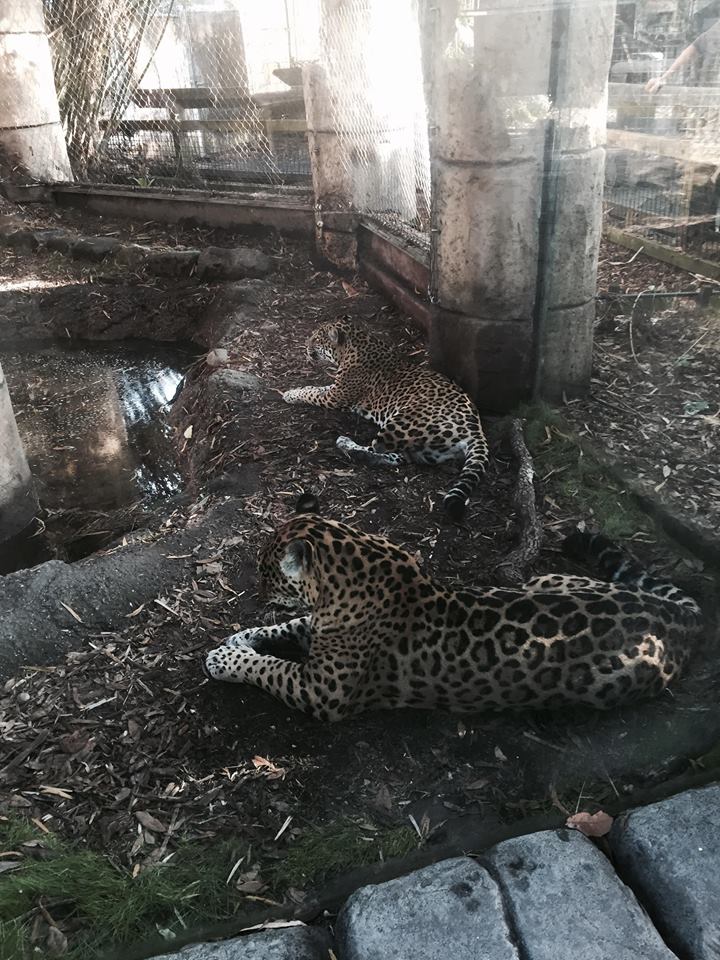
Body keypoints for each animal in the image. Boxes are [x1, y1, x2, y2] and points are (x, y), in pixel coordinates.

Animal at [203, 495, 703, 722]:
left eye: (265, 570)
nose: (253, 589)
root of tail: (677, 616)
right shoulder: (320, 631)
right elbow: (288, 627)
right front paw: (238, 639)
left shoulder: (322, 691)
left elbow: (269, 667)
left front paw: (225, 658)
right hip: (543, 579)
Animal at [281, 317, 489, 521]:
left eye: (317, 339)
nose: (305, 345)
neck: (352, 346)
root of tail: (475, 428)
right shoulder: (335, 390)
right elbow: (315, 388)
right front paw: (293, 390)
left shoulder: (335, 397)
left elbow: (312, 393)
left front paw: (290, 394)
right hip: (428, 450)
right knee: (401, 457)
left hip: (402, 422)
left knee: (377, 447)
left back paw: (346, 443)